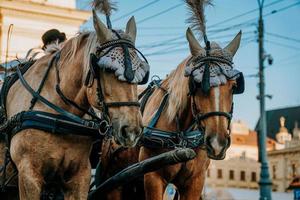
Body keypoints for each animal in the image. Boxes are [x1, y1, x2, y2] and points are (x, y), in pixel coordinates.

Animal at [0, 9, 146, 200]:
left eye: (141, 74)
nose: (132, 130)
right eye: (107, 69)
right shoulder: (28, 176)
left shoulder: (80, 176)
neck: (59, 117)